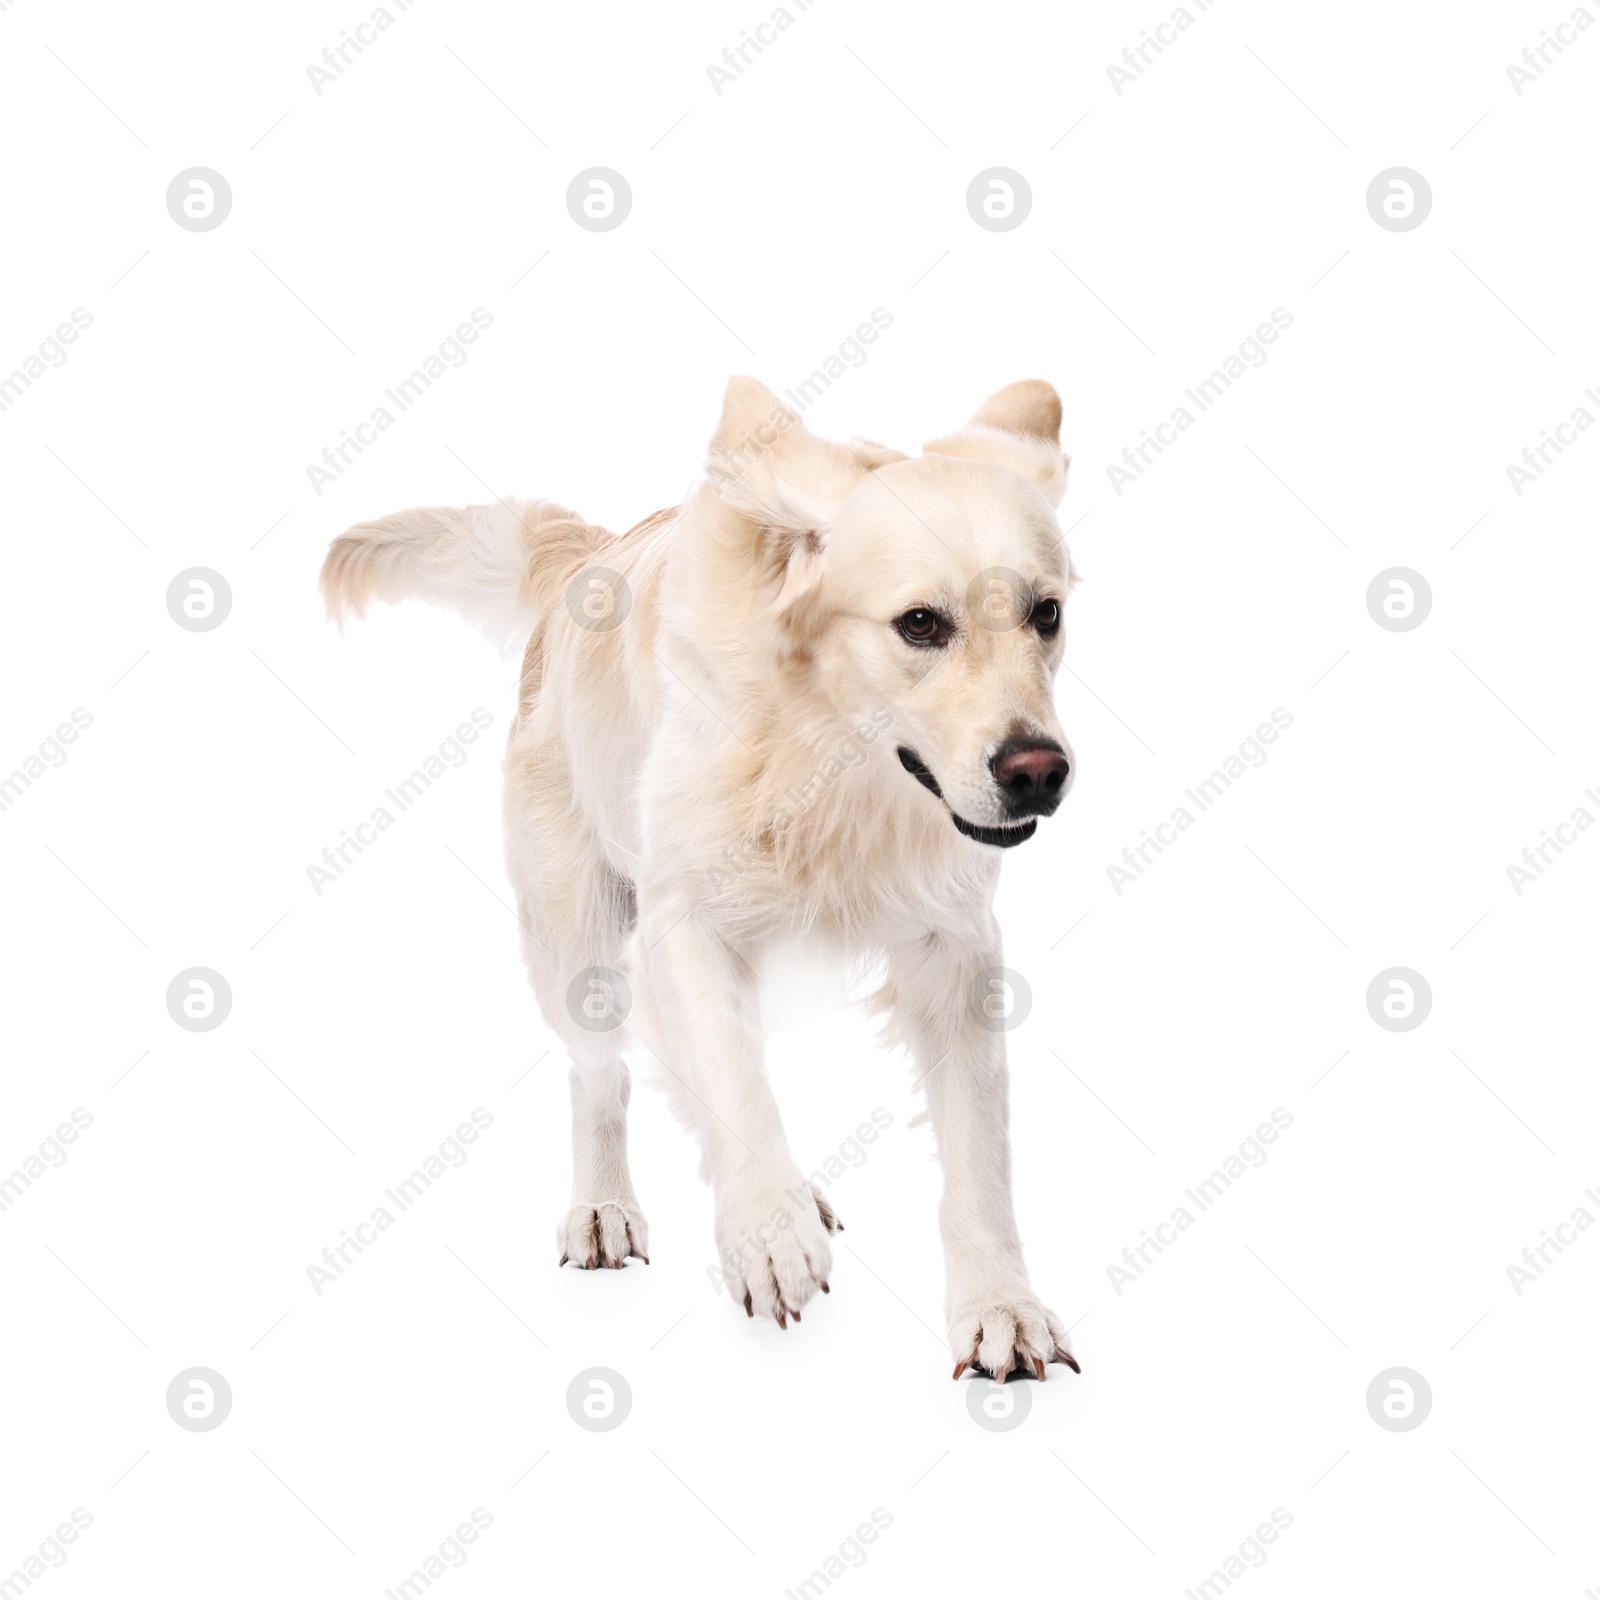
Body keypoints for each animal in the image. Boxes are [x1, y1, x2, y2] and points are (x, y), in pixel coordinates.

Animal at [318, 380, 1081, 1382]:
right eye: (920, 623)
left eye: (1046, 615)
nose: (1039, 771)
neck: (831, 753)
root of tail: (585, 561)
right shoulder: (680, 923)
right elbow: (730, 1082)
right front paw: (769, 1235)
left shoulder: (955, 949)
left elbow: (978, 1156)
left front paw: (1002, 1307)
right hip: (576, 939)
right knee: (600, 1076)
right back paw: (610, 1207)